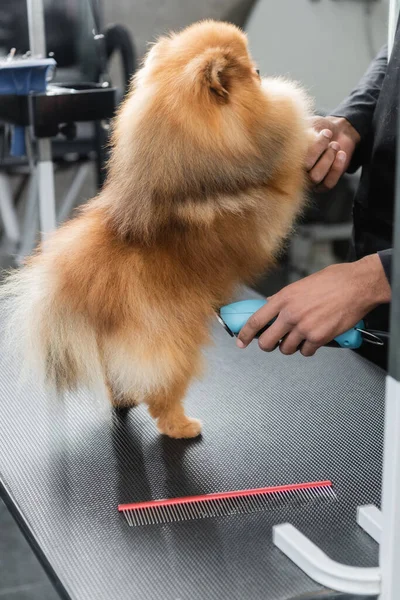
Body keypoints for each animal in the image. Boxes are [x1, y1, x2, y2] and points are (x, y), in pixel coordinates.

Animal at [0, 21, 312, 438]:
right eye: (247, 71)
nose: (260, 69)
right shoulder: (278, 182)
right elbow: (291, 147)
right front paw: (316, 137)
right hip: (175, 345)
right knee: (162, 393)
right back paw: (182, 426)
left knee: (117, 378)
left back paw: (123, 401)